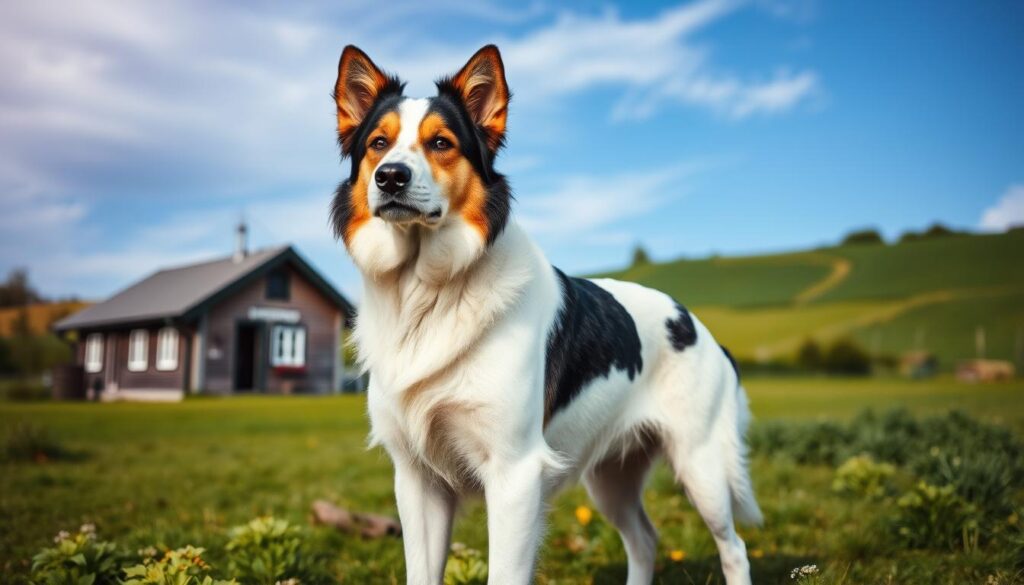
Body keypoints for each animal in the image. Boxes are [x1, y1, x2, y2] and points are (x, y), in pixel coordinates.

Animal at [327, 43, 761, 581]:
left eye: (442, 143)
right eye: (379, 143)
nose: (390, 176)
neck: (428, 293)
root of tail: (700, 326)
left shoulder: (515, 475)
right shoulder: (416, 480)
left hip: (700, 466)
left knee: (733, 547)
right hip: (611, 477)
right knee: (644, 539)